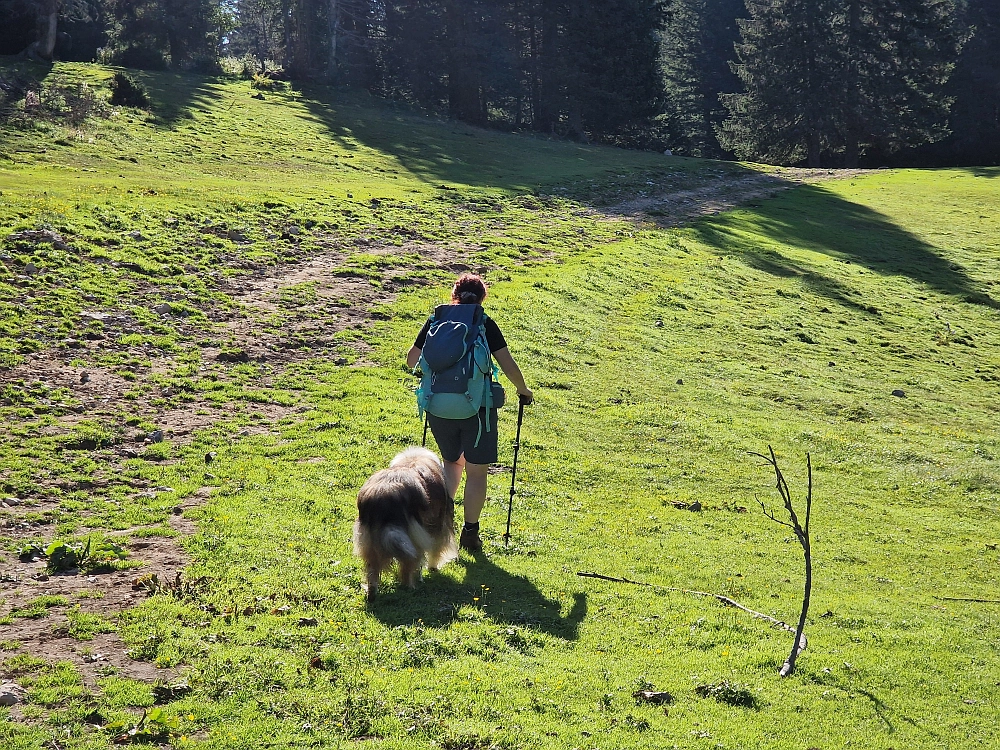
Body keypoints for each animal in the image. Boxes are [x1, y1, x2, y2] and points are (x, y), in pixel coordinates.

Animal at [354, 450, 458, 604]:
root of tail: (384, 495)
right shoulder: (436, 527)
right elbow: (434, 551)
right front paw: (432, 569)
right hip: (413, 533)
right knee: (411, 561)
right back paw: (409, 586)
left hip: (370, 539)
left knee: (373, 569)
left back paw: (372, 593)